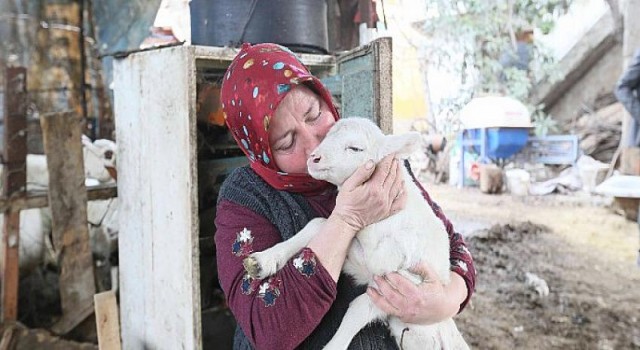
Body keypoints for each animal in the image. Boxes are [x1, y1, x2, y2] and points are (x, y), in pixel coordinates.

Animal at [242, 117, 468, 350]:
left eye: (355, 148)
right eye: (326, 136)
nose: (314, 158)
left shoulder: (400, 279)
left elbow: (358, 309)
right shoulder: (362, 263)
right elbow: (318, 224)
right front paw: (262, 261)